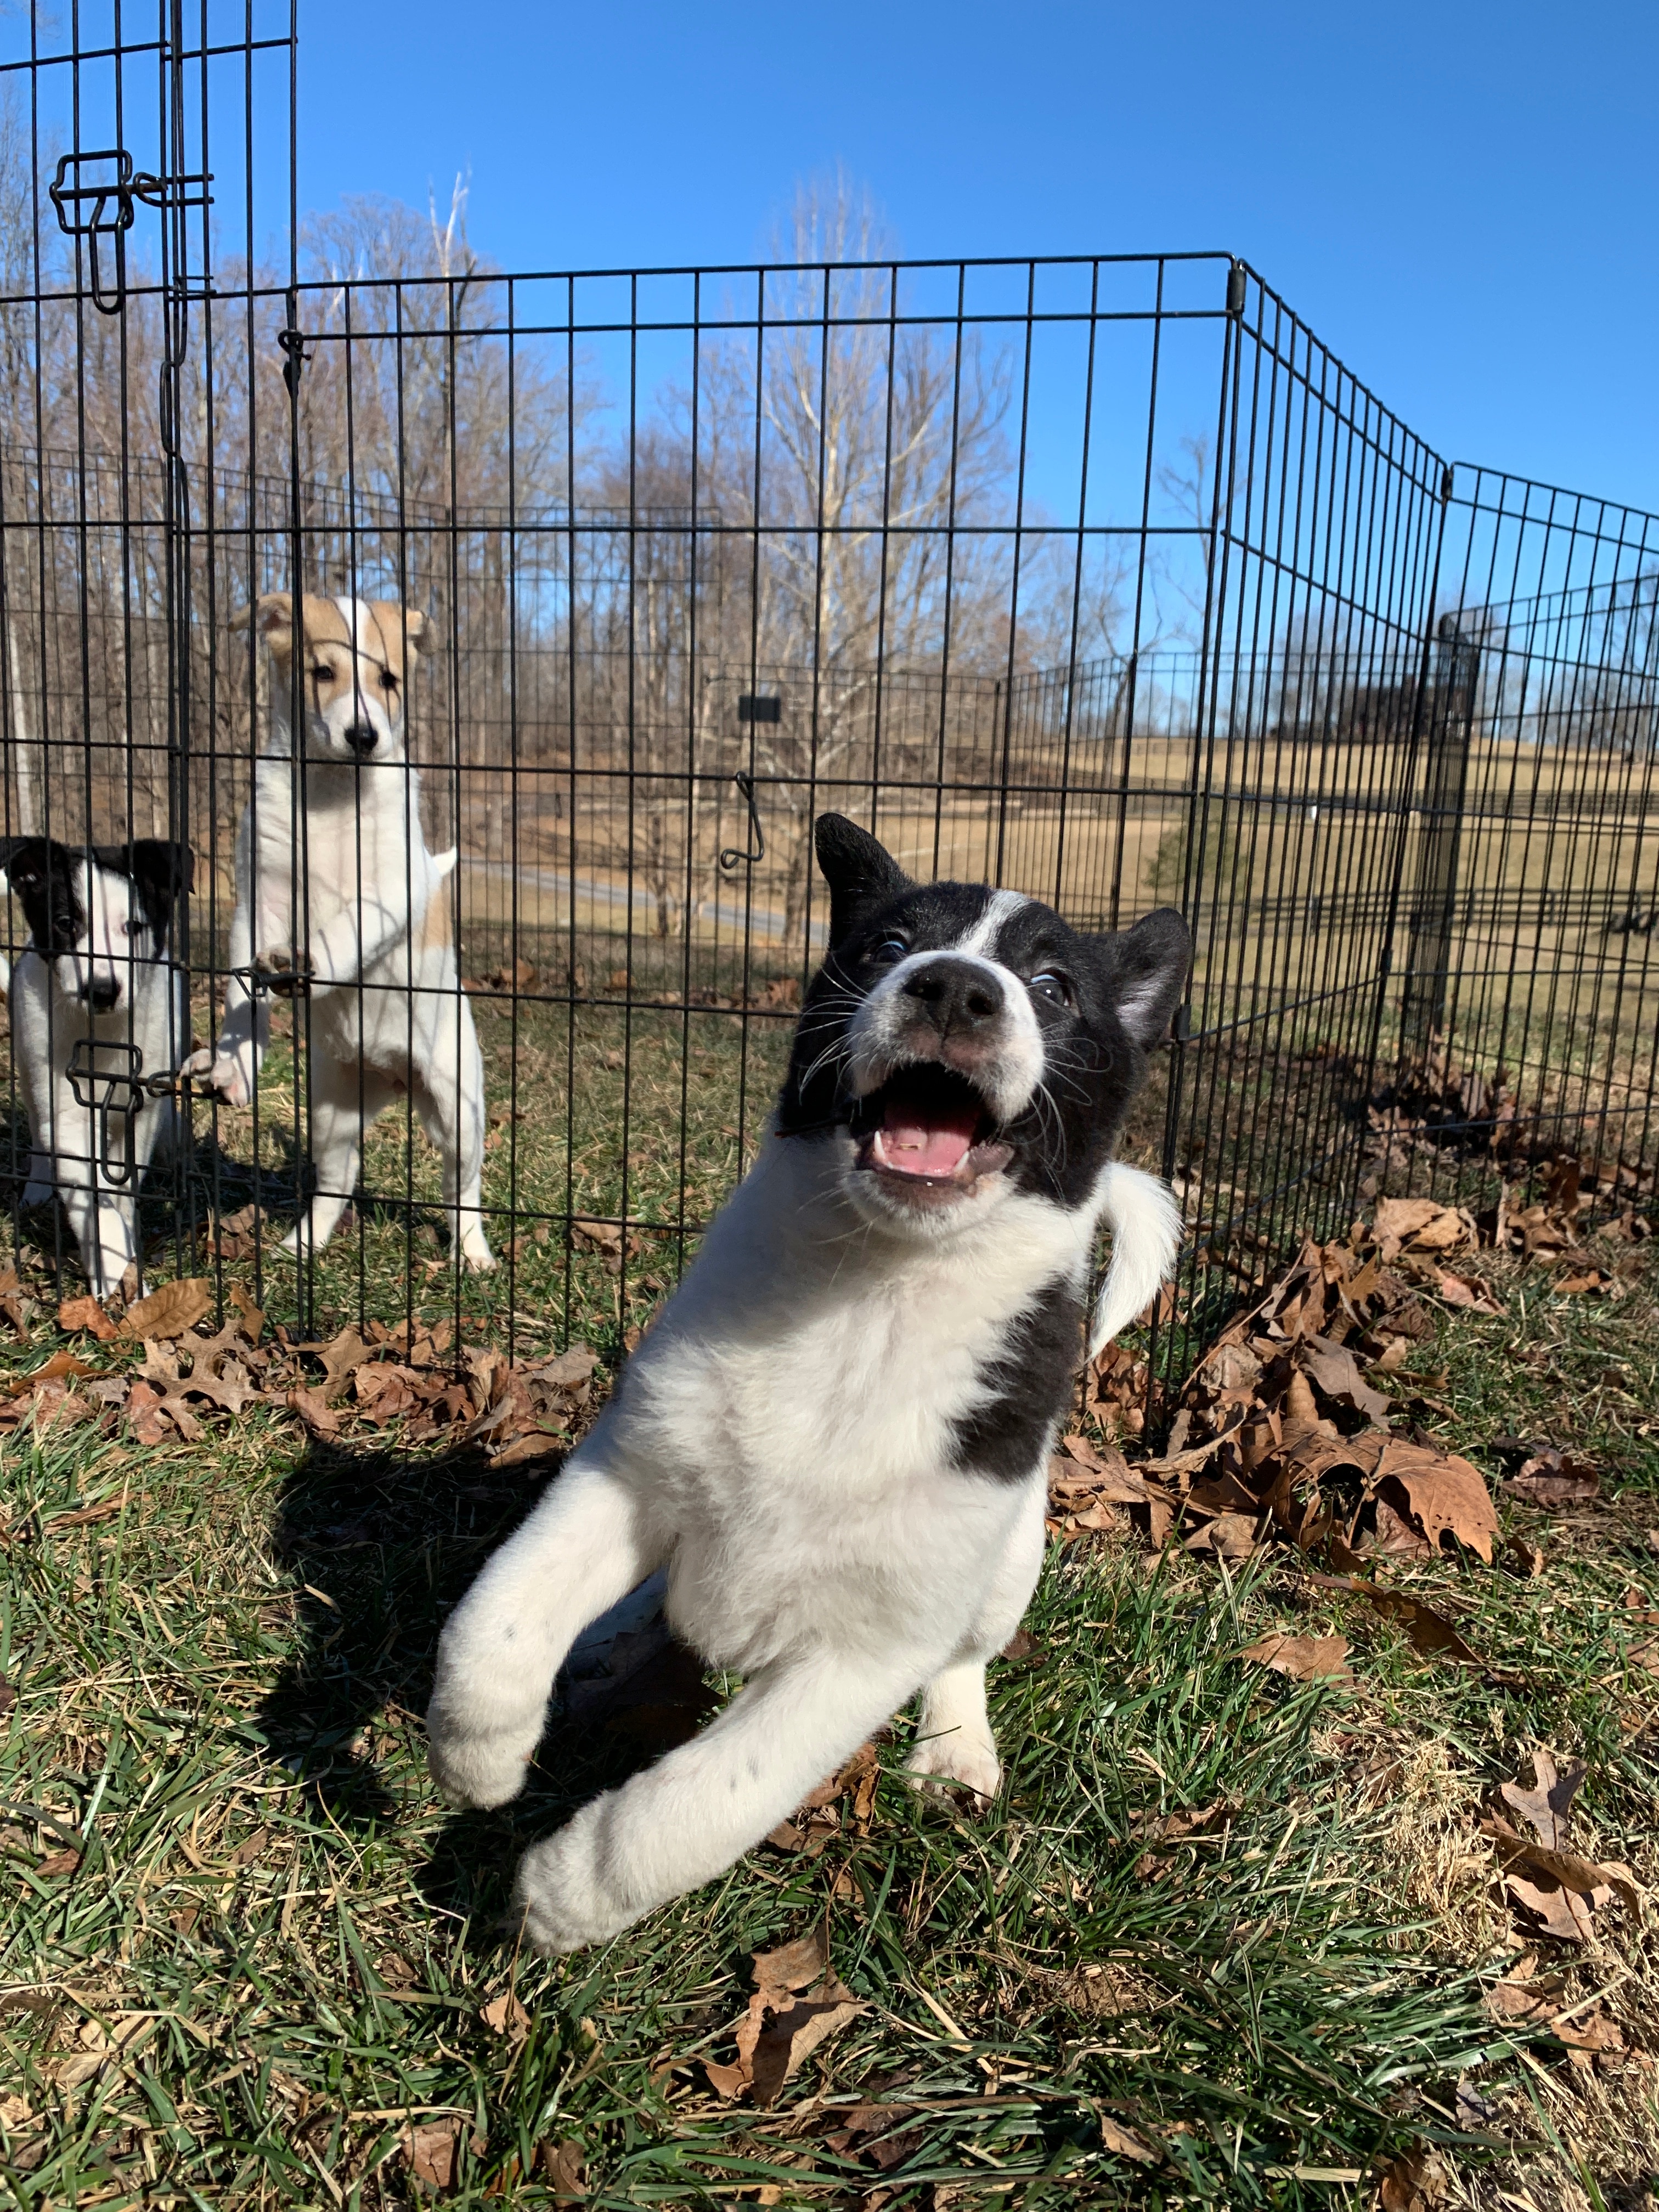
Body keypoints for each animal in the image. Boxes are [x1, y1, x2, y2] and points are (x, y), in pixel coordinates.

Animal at [1, 836, 193, 1300]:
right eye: (66, 923)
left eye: (134, 927)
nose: (102, 991)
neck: (102, 1033)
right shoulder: (66, 1113)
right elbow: (93, 1197)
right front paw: (116, 1274)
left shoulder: (140, 1115)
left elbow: (123, 1189)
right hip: (31, 1071)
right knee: (39, 1136)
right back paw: (37, 1188)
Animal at [188, 597, 498, 1274]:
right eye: (322, 672)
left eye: (389, 679)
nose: (365, 736)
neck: (331, 792)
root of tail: (392, 1076)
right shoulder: (258, 899)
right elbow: (242, 996)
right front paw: (231, 1068)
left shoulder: (389, 889)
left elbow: (346, 930)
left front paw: (307, 961)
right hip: (332, 1113)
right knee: (336, 1184)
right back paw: (301, 1245)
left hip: (458, 1108)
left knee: (461, 1188)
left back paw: (474, 1254)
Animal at [422, 818, 1186, 1955]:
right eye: (886, 948)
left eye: (1051, 985)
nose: (954, 988)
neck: (871, 1298)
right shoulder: (625, 1470)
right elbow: (495, 1620)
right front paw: (477, 1754)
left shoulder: (865, 1652)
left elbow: (697, 1803)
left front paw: (562, 1896)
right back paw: (609, 1642)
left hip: (1008, 1564)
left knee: (965, 1659)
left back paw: (954, 1749)